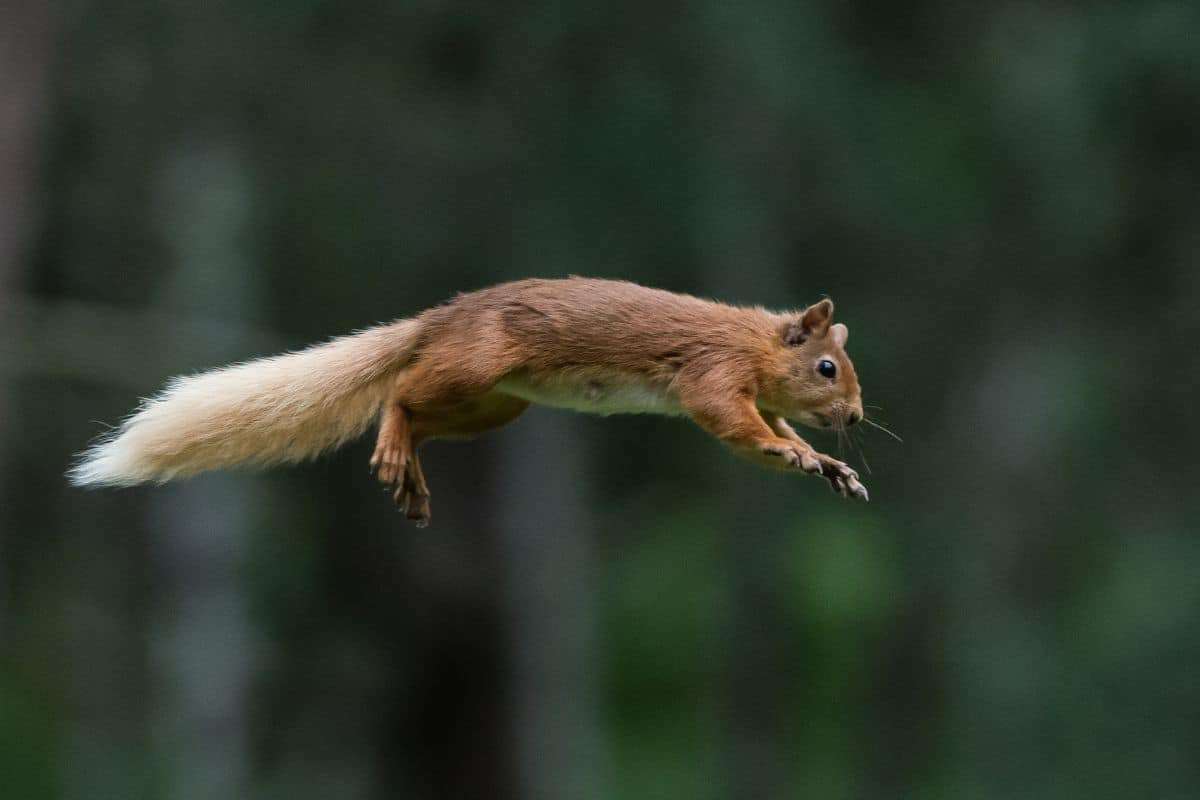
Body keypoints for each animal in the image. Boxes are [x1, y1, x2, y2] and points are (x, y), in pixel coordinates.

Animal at [70, 277, 870, 526]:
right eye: (827, 367)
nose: (858, 418)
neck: (755, 343)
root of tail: (436, 321)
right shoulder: (711, 372)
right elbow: (735, 425)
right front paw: (794, 449)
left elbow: (763, 431)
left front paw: (824, 463)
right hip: (475, 367)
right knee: (398, 393)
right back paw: (392, 442)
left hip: (493, 405)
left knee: (423, 418)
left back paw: (409, 471)